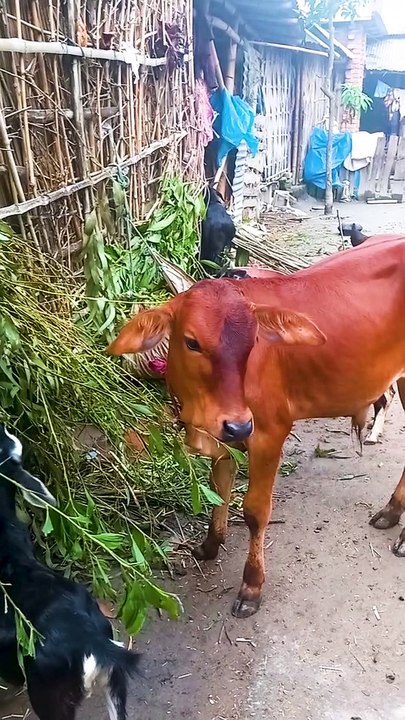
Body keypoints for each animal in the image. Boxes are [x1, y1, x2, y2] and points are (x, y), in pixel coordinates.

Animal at [108, 235, 405, 619]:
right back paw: (391, 512)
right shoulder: (224, 436)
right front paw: (209, 545)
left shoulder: (267, 433)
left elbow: (254, 511)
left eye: (252, 344)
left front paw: (251, 586)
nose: (237, 426)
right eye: (192, 342)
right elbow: (218, 489)